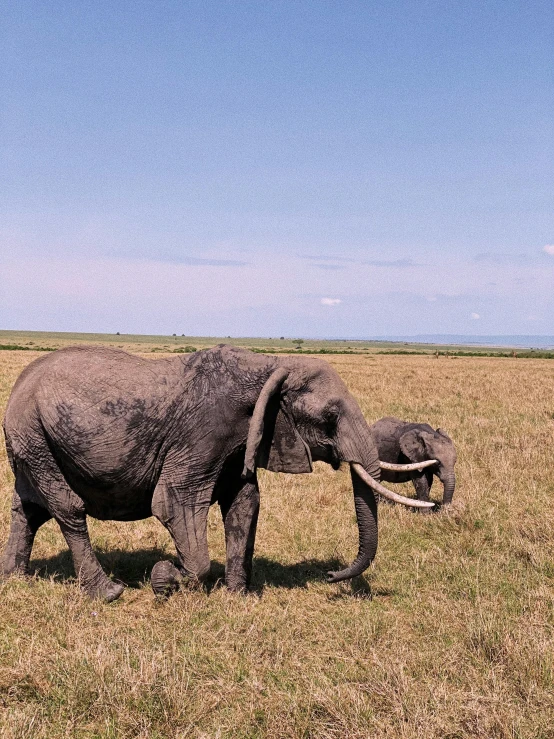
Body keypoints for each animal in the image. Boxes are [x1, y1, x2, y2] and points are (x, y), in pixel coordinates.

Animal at [1, 346, 432, 600]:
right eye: (329, 416)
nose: (329, 575)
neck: (269, 365)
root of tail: (20, 384)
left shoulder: (242, 439)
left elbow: (245, 504)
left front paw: (238, 596)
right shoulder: (202, 434)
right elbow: (175, 503)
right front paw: (164, 579)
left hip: (30, 441)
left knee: (28, 510)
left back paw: (13, 579)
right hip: (34, 434)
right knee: (67, 508)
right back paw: (109, 593)